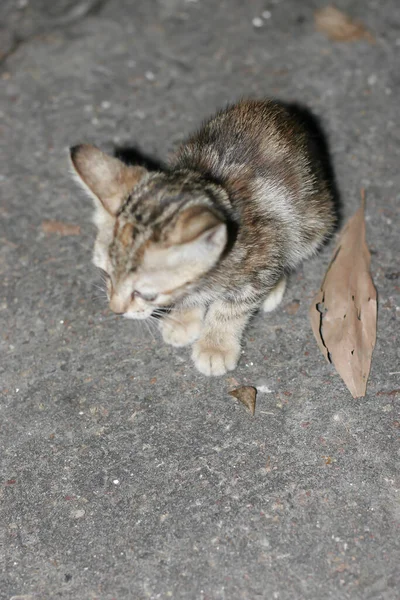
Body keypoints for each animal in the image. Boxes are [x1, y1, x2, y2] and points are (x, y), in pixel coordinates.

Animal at [70, 101, 336, 378]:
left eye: (146, 294)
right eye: (106, 274)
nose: (116, 310)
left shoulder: (261, 249)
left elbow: (231, 307)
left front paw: (215, 345)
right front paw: (184, 318)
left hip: (312, 224)